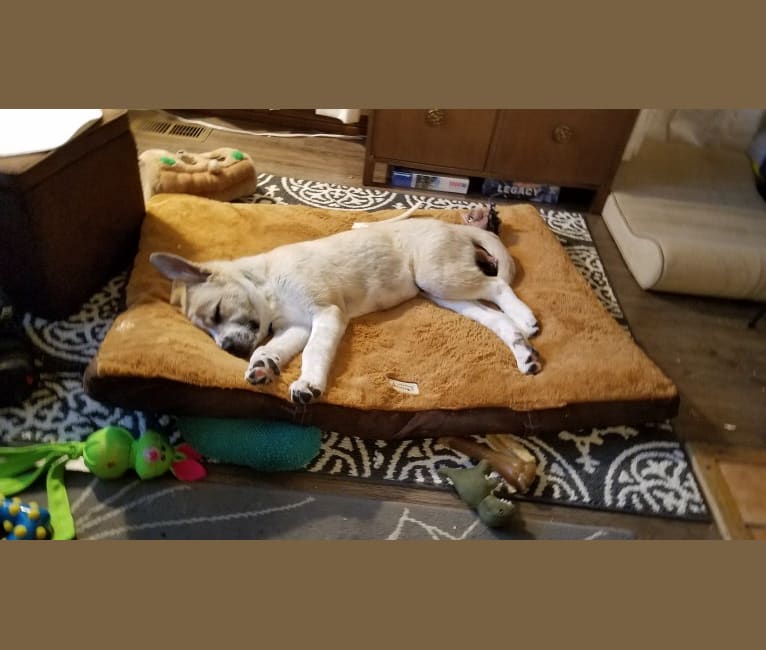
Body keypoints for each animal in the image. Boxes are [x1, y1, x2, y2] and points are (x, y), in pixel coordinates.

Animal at [150, 205, 541, 405]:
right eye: (208, 331)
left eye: (217, 313)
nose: (229, 348)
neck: (268, 285)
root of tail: (456, 229)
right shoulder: (297, 325)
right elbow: (274, 347)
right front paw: (262, 365)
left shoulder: (326, 315)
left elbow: (313, 353)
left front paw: (307, 384)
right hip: (445, 294)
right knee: (494, 315)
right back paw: (524, 352)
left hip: (438, 277)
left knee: (498, 284)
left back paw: (527, 320)